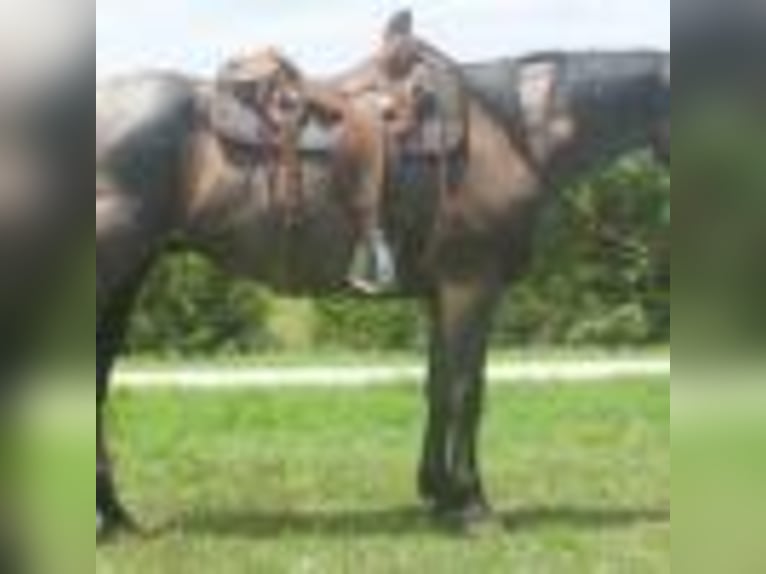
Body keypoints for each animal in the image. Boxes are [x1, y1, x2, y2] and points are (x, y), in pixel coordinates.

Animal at [96, 12, 669, 538]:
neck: (513, 132)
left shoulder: (441, 293)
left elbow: (438, 387)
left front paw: (438, 495)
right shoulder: (471, 286)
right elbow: (467, 391)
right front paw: (472, 506)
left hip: (128, 274)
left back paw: (117, 518)